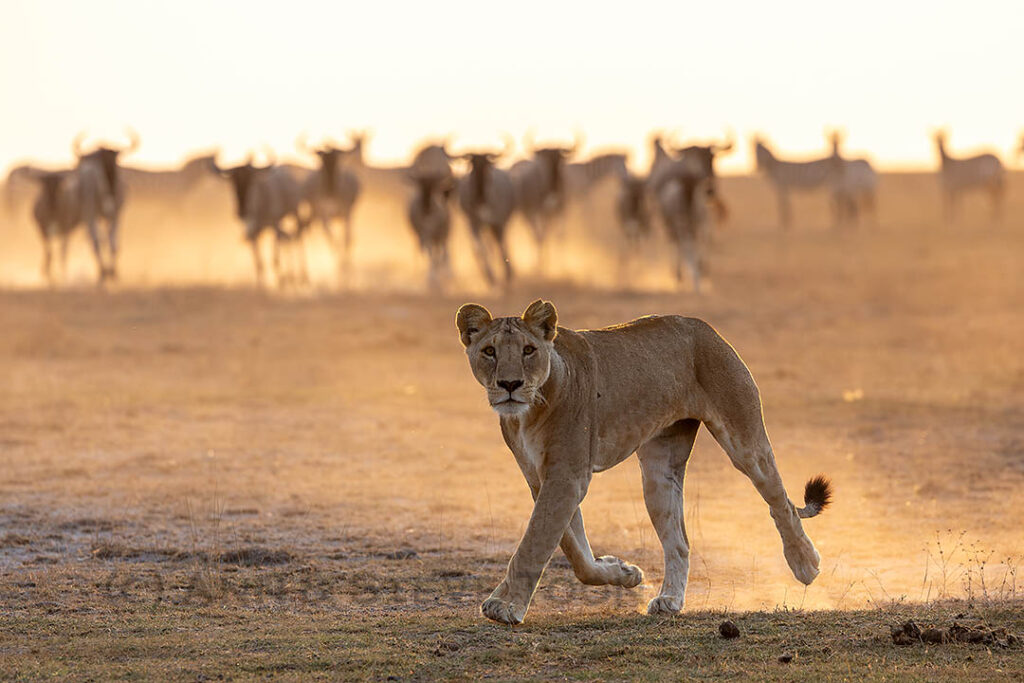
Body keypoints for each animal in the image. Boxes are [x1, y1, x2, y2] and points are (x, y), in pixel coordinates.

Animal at [456, 299, 832, 625]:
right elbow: (573, 550)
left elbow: (534, 543)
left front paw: (505, 606)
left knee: (781, 501)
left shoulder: (566, 476)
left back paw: (805, 563)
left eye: (528, 350)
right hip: (658, 471)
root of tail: (700, 325)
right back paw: (670, 600)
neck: (528, 411)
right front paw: (622, 571)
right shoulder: (542, 478)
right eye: (489, 351)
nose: (509, 384)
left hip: (744, 439)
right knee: (679, 541)